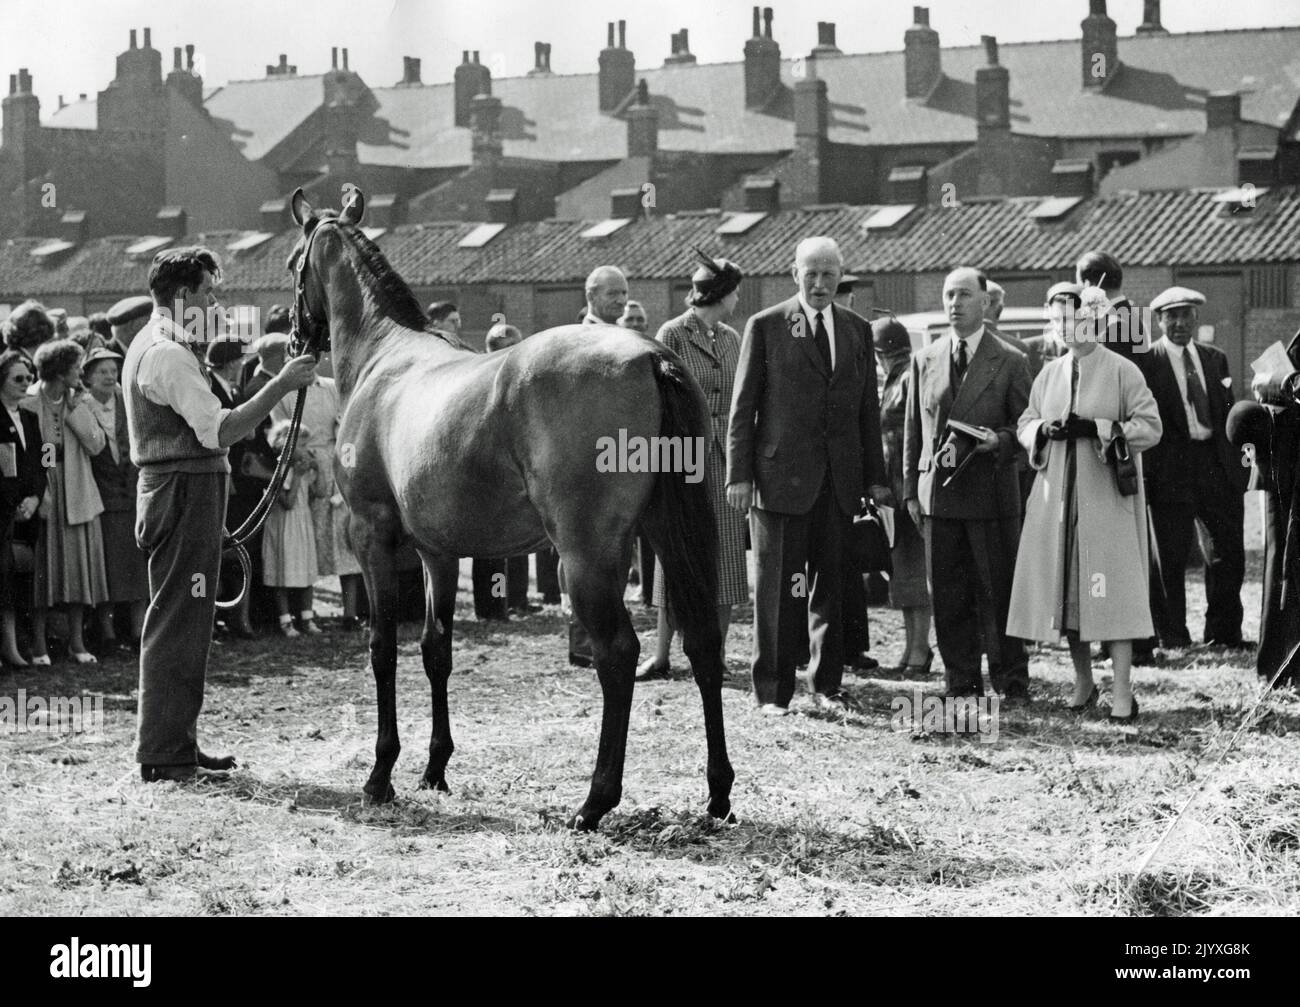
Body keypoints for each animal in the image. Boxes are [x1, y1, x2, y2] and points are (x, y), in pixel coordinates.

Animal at [284, 184, 733, 831]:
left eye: (293, 265)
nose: (296, 341)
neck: (385, 356)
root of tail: (653, 356)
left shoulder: (373, 536)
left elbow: (383, 648)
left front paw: (381, 774)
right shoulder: (438, 553)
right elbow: (435, 648)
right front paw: (434, 768)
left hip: (588, 554)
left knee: (617, 653)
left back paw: (594, 802)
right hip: (667, 535)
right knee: (701, 640)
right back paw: (718, 793)